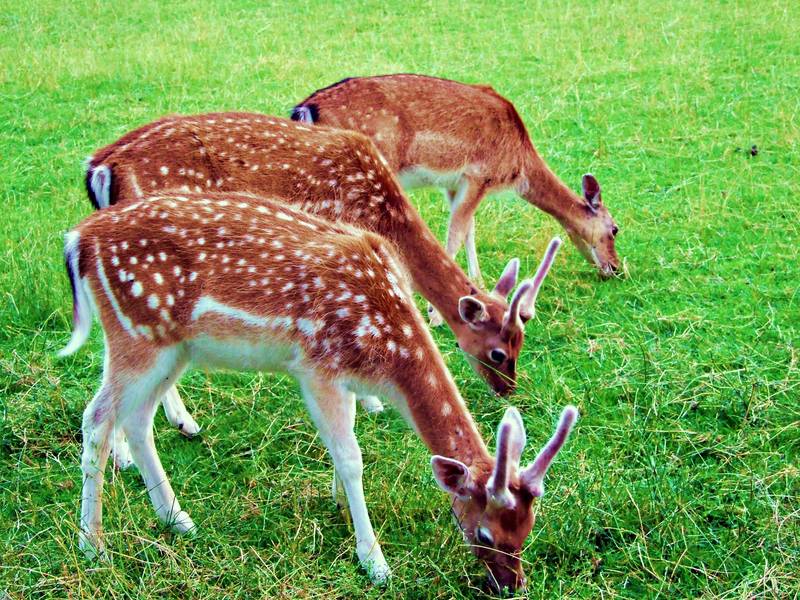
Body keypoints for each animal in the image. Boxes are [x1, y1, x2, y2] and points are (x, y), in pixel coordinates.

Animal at [59, 191, 580, 592]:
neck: (387, 358)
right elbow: (351, 457)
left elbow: (341, 447)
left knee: (138, 419)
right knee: (97, 418)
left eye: (528, 528)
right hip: (136, 335)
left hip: (173, 348)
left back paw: (175, 517)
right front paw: (375, 562)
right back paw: (93, 545)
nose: (512, 585)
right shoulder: (317, 368)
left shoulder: (343, 380)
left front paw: (337, 503)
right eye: (486, 534)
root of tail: (78, 239)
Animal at [84, 112, 564, 448]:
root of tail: (99, 167)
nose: (508, 390)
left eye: (522, 340)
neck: (383, 215)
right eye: (499, 352)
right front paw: (371, 402)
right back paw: (173, 429)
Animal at [290, 73, 620, 286]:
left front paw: (478, 280)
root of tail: (305, 108)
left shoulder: (453, 184)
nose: (616, 268)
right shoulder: (478, 175)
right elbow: (457, 233)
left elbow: (469, 229)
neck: (519, 166)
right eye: (615, 229)